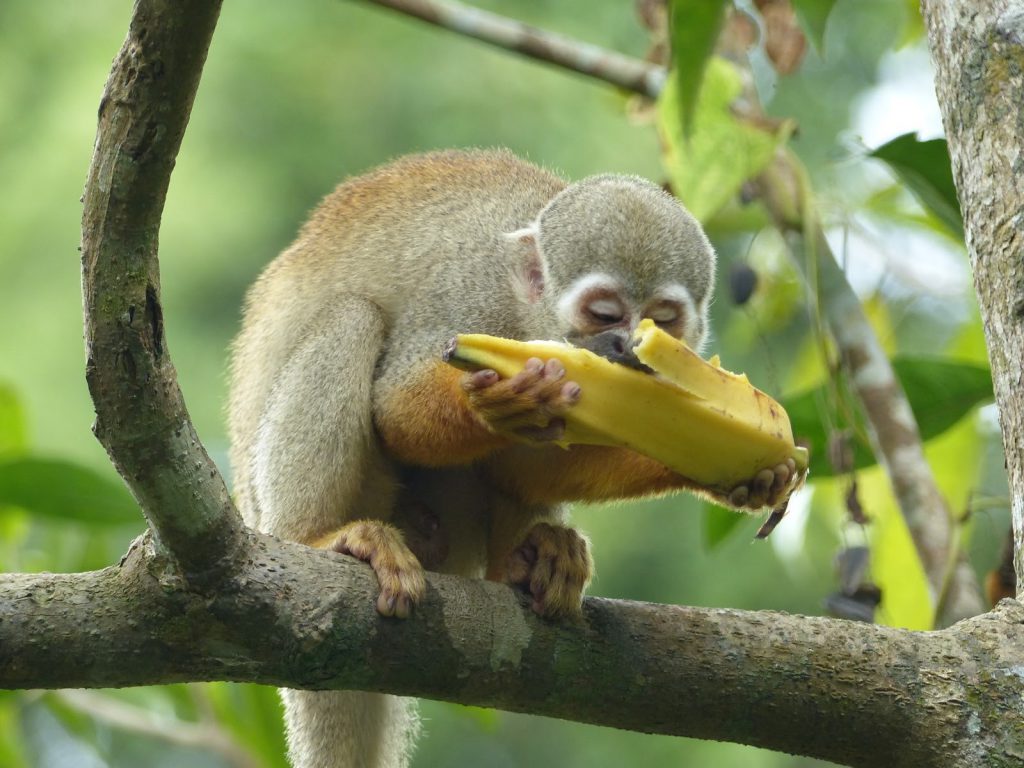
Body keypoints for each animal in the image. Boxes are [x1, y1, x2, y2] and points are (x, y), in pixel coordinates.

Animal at [230, 148, 745, 765]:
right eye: (604, 314)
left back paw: (527, 562)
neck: (528, 316)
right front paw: (496, 406)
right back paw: (319, 535)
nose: (628, 349)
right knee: (351, 317)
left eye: (663, 320)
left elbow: (526, 465)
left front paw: (721, 459)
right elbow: (396, 411)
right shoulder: (468, 293)